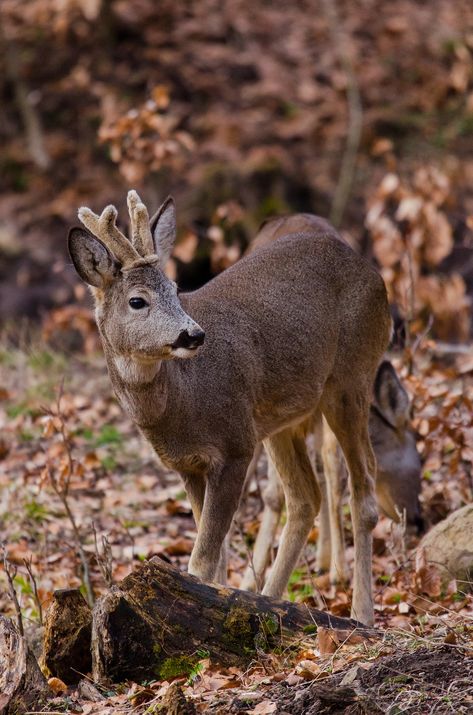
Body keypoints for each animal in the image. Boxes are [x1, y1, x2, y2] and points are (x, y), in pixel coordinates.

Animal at [67, 193, 390, 624]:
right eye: (137, 301)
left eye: (175, 288)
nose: (193, 334)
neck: (183, 402)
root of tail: (373, 274)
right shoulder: (188, 464)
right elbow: (216, 556)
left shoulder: (236, 445)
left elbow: (202, 560)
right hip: (281, 416)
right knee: (305, 497)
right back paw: (271, 603)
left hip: (351, 378)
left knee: (363, 488)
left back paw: (361, 613)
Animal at [240, 214, 420, 592]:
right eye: (418, 460)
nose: (418, 519)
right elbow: (283, 488)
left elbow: (325, 473)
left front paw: (334, 566)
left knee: (324, 467)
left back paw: (327, 561)